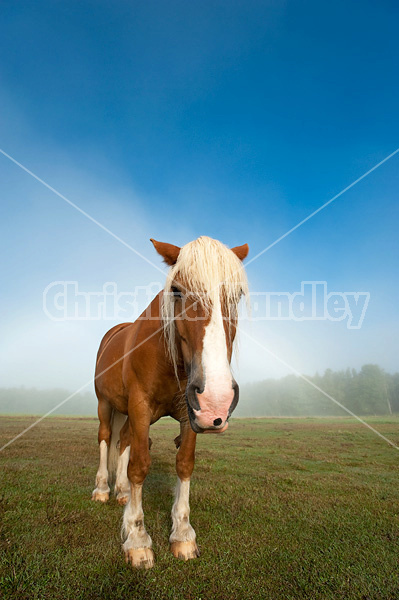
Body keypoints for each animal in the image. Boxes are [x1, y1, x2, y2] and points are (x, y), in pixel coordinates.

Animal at [93, 234, 250, 568]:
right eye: (177, 289)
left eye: (237, 295)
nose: (218, 399)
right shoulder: (140, 407)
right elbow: (139, 465)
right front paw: (137, 539)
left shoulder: (190, 411)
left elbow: (184, 464)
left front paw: (182, 533)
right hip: (105, 405)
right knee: (106, 437)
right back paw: (102, 488)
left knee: (123, 441)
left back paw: (122, 492)